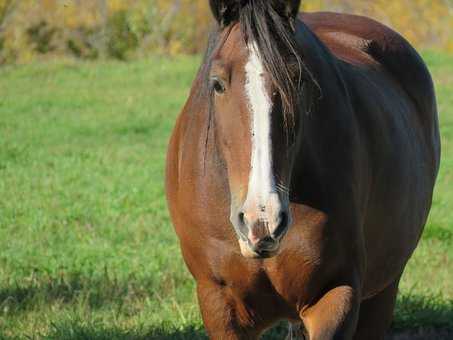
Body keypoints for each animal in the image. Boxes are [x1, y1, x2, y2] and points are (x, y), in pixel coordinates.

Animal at [164, 1, 440, 338]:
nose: (262, 221)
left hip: (382, 290)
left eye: (298, 80)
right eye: (217, 83)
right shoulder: (219, 303)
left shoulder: (336, 294)